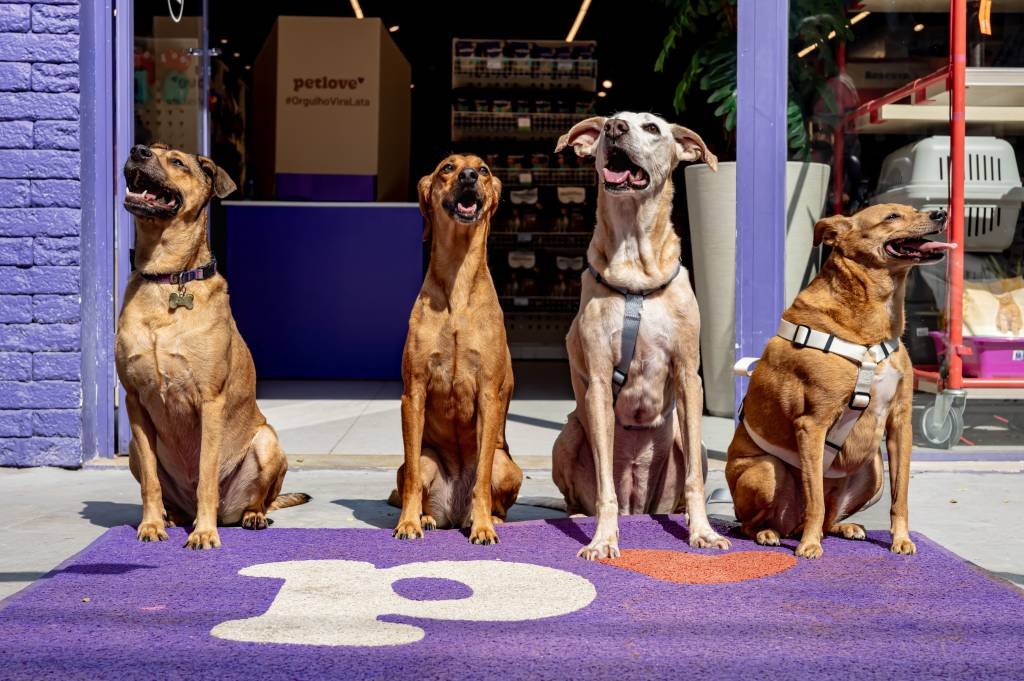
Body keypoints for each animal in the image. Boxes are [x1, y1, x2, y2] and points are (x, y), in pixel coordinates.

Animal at [115, 142, 307, 548]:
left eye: (176, 161)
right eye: (150, 149)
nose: (137, 150)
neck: (168, 278)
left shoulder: (209, 400)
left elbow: (206, 475)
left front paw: (204, 534)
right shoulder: (135, 400)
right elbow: (151, 483)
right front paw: (150, 525)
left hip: (267, 441)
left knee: (258, 499)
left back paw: (249, 517)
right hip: (134, 454)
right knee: (160, 486)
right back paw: (171, 517)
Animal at [389, 152, 524, 540]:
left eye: (484, 170)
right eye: (447, 167)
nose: (468, 176)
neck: (457, 282)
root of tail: (453, 509)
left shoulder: (489, 395)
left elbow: (481, 477)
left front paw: (483, 528)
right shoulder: (413, 392)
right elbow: (413, 479)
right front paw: (407, 522)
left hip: (508, 466)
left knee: (491, 486)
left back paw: (487, 518)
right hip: (421, 460)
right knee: (415, 477)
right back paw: (425, 517)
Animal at [724, 201, 954, 557]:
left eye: (912, 209)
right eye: (891, 216)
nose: (941, 212)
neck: (871, 332)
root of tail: (791, 525)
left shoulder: (900, 422)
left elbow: (900, 495)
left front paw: (901, 539)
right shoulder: (812, 424)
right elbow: (815, 498)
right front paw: (809, 547)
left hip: (873, 473)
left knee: (830, 515)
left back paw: (843, 527)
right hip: (765, 470)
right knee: (757, 521)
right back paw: (771, 533)